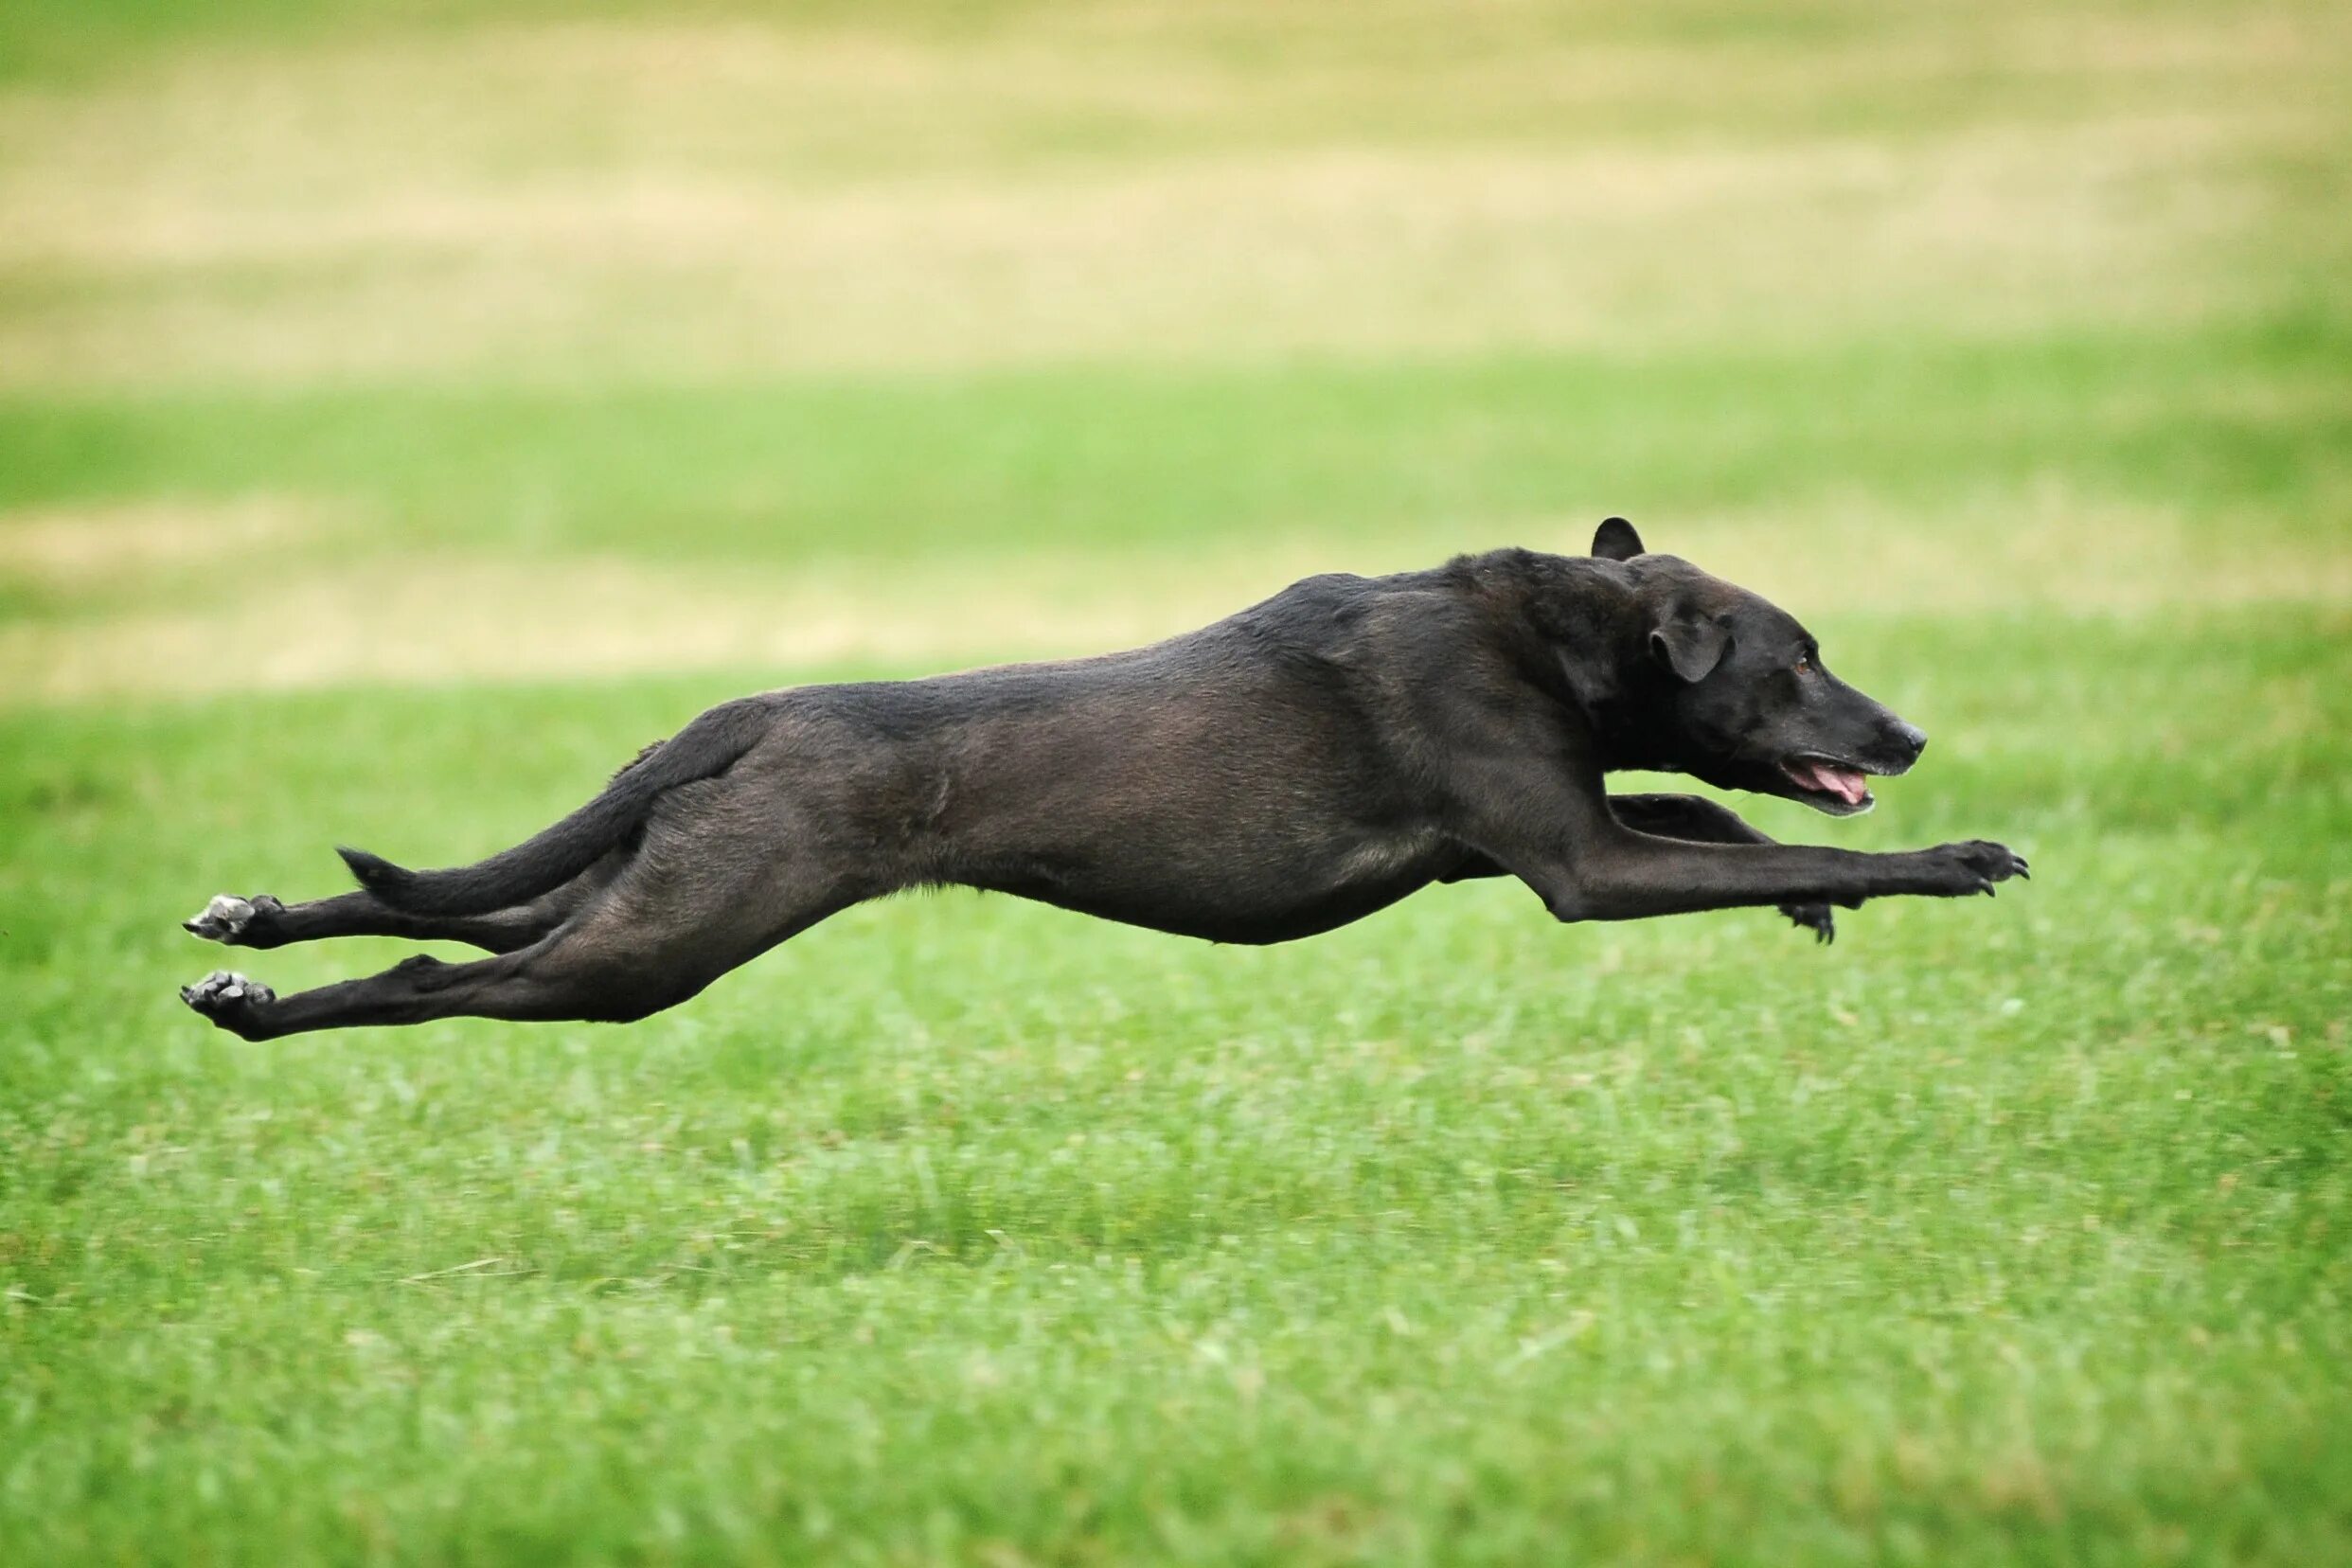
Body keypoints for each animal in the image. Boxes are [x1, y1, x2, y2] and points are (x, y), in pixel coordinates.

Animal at [183, 524, 2022, 1043]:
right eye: (1801, 658)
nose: (1909, 738)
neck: (1552, 633)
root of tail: (748, 712)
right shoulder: (1570, 865)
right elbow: (1791, 847)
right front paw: (1956, 858)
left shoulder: (1543, 837)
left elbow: (1711, 818)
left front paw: (1801, 899)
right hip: (670, 937)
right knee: (437, 977)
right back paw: (261, 1012)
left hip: (648, 876)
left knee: (437, 917)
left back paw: (244, 933)